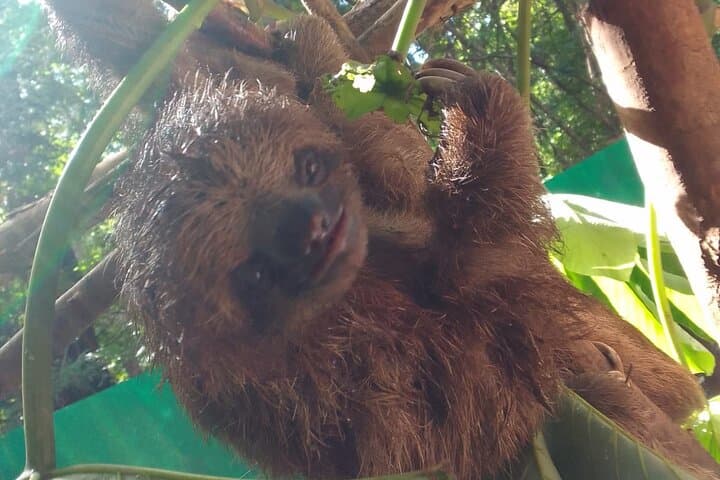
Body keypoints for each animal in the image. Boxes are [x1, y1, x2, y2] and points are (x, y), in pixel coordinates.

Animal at [42, 0, 720, 478]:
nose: (316, 229)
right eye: (255, 271)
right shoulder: (327, 372)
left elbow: (160, 55)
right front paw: (476, 106)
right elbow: (474, 295)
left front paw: (300, 45)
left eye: (307, 169)